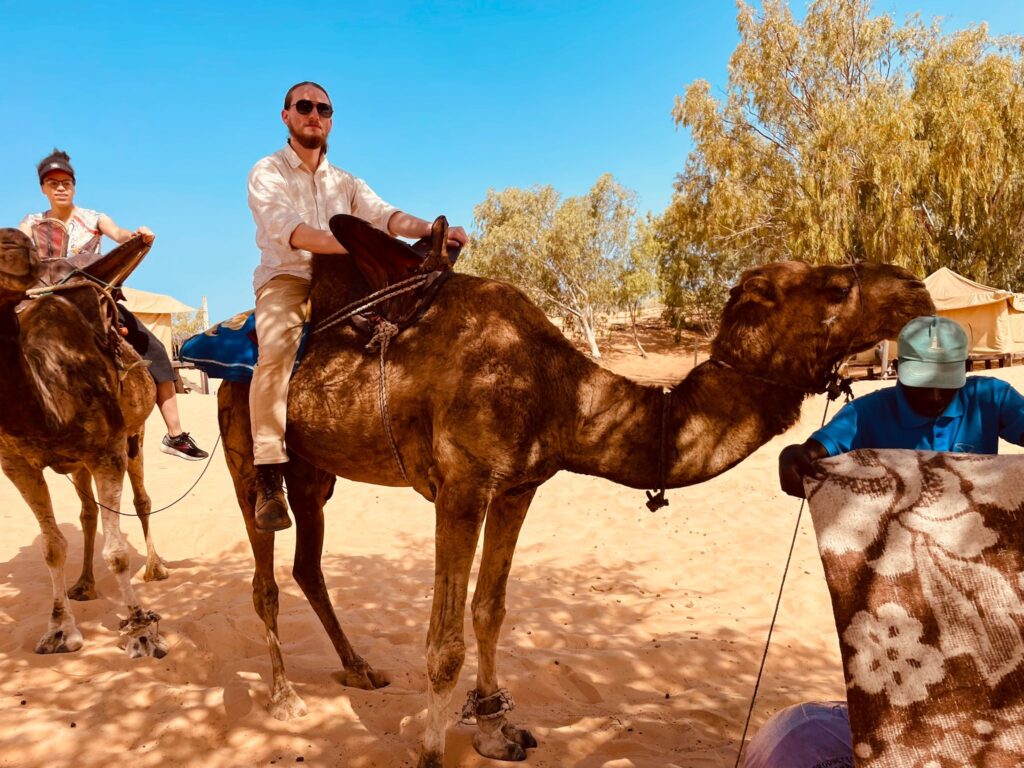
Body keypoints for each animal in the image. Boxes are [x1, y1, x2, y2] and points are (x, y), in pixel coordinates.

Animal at [0, 230, 169, 663]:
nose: (16, 246)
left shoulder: (108, 450)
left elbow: (118, 552)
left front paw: (142, 632)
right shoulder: (18, 465)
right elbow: (52, 548)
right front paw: (60, 631)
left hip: (135, 436)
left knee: (142, 500)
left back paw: (156, 569)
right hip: (76, 464)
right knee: (88, 512)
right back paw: (84, 585)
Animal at [218, 219, 937, 765]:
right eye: (837, 286)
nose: (918, 291)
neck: (555, 389)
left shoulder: (517, 487)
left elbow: (490, 611)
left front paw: (496, 728)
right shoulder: (461, 485)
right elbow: (444, 641)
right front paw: (430, 749)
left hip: (317, 473)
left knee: (308, 564)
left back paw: (359, 667)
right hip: (243, 444)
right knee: (265, 571)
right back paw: (284, 698)